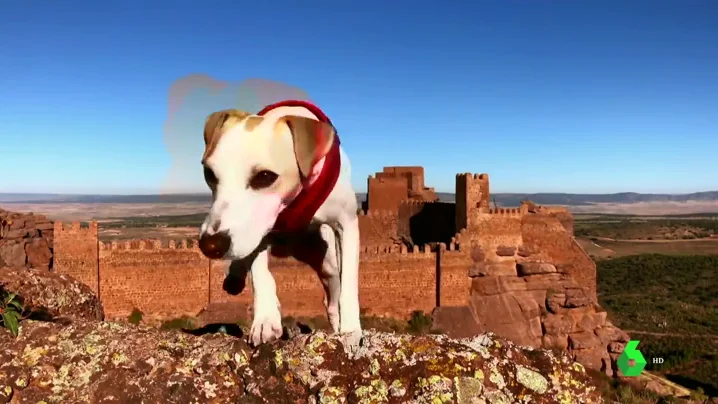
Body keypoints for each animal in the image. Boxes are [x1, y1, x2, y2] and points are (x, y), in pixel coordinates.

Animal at [197, 99, 362, 346]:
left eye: (265, 176)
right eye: (209, 174)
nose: (210, 245)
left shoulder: (347, 222)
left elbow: (348, 286)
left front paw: (351, 330)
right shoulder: (259, 232)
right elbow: (261, 273)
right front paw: (265, 319)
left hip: (326, 261)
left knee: (333, 294)